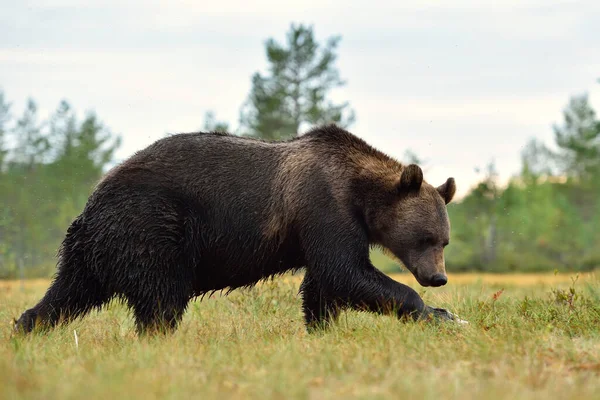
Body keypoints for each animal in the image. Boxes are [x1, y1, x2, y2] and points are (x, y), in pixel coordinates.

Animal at [14, 124, 462, 334]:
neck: (358, 192)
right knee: (161, 299)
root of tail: (90, 207)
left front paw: (322, 328)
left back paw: (26, 327)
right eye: (426, 238)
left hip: (93, 251)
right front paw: (442, 315)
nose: (437, 278)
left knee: (67, 294)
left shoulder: (323, 226)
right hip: (152, 227)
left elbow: (325, 284)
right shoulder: (323, 207)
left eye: (445, 240)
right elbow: (346, 272)